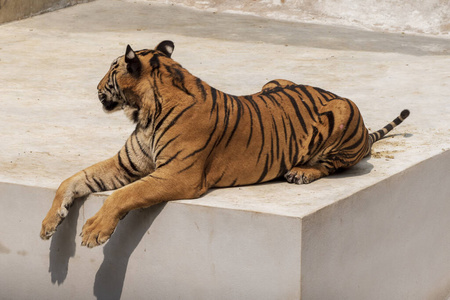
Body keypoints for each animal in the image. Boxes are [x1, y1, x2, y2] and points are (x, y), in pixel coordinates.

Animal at [40, 40, 410, 248]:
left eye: (111, 69)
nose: (95, 87)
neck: (143, 113)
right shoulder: (126, 164)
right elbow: (72, 180)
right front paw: (48, 224)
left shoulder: (177, 175)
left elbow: (123, 194)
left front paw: (93, 231)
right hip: (275, 81)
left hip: (343, 111)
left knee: (333, 164)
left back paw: (301, 172)